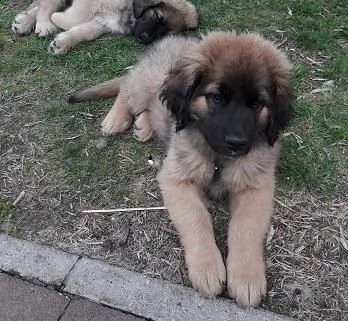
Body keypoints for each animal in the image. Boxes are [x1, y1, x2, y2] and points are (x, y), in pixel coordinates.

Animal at [10, 0, 197, 53]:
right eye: (157, 16)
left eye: (165, 34)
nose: (145, 39)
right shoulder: (88, 4)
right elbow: (75, 17)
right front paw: (56, 19)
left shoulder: (103, 23)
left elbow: (85, 31)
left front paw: (62, 43)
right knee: (46, 5)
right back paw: (43, 24)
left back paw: (24, 21)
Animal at [68, 30, 294, 308]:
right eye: (216, 97)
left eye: (257, 104)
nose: (237, 142)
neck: (217, 157)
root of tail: (172, 38)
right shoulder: (176, 178)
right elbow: (197, 217)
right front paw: (207, 268)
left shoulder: (256, 185)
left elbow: (245, 226)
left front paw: (246, 278)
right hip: (145, 84)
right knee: (125, 87)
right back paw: (116, 119)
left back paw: (144, 126)